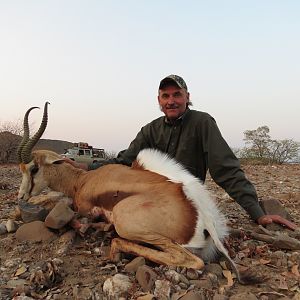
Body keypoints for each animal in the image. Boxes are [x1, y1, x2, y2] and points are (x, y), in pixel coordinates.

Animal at [17, 102, 248, 282]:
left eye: (34, 168)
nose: (21, 196)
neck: (81, 180)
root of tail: (206, 218)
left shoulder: (84, 209)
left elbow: (76, 220)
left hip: (126, 221)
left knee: (192, 260)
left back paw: (114, 247)